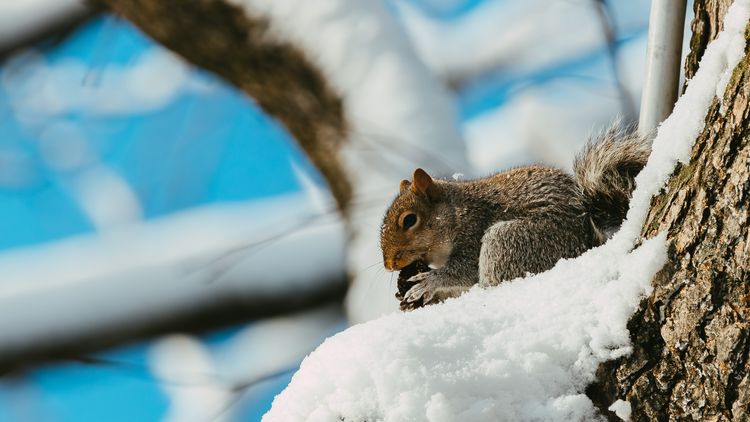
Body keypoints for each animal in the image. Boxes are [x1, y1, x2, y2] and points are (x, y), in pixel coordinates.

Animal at [382, 123, 652, 308]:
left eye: (409, 220)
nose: (389, 265)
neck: (455, 213)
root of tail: (586, 242)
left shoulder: (473, 229)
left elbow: (464, 270)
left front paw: (429, 282)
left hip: (511, 241)